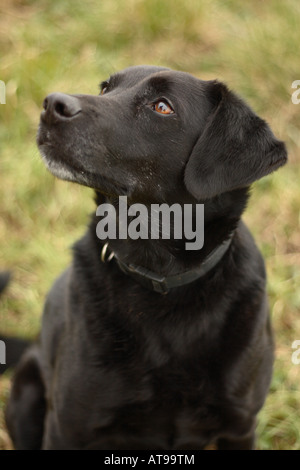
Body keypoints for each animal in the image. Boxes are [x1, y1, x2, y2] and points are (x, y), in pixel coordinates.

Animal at [4, 65, 286, 448]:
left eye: (162, 107)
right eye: (105, 88)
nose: (52, 105)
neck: (161, 276)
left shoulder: (240, 426)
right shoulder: (68, 426)